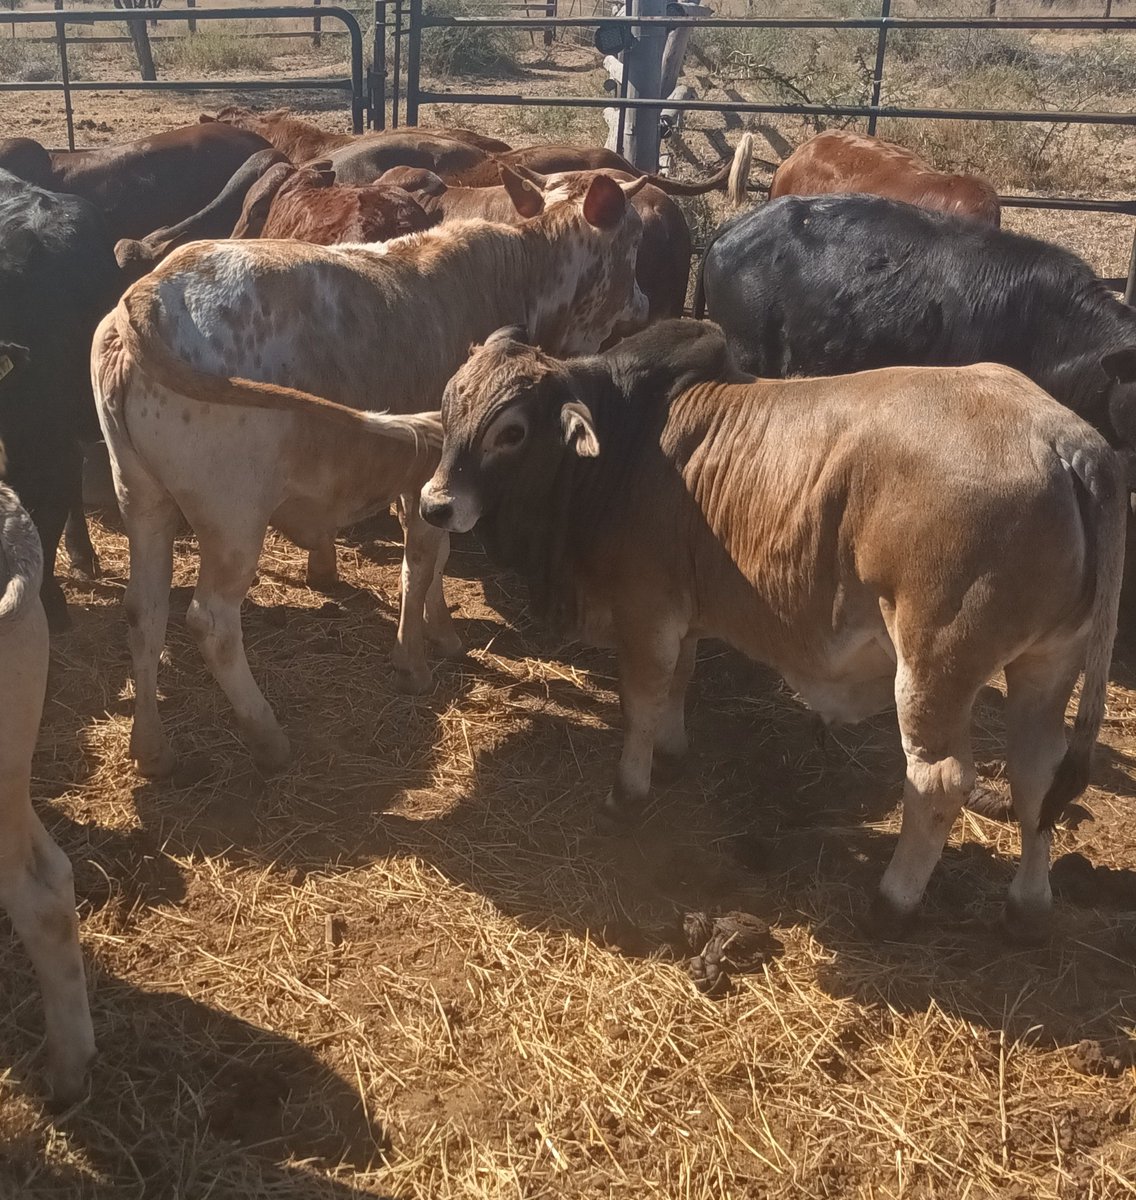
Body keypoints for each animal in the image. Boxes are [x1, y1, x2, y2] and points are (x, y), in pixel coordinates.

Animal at [92, 171, 648, 778]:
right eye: (632, 243)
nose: (643, 302)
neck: (516, 277)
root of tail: (147, 293)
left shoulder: (425, 480)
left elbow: (436, 559)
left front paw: (442, 633)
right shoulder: (435, 472)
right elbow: (422, 563)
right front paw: (413, 660)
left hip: (141, 497)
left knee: (144, 612)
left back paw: (152, 749)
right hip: (233, 516)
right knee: (211, 622)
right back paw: (267, 736)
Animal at [419, 319, 1124, 944]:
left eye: (511, 431)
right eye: (450, 405)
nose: (434, 505)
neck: (626, 443)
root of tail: (1062, 437)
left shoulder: (645, 610)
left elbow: (640, 702)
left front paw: (628, 790)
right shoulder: (684, 612)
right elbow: (679, 683)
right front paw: (671, 755)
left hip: (935, 669)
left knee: (939, 783)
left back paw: (891, 905)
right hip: (1047, 663)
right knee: (1037, 773)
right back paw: (1026, 908)